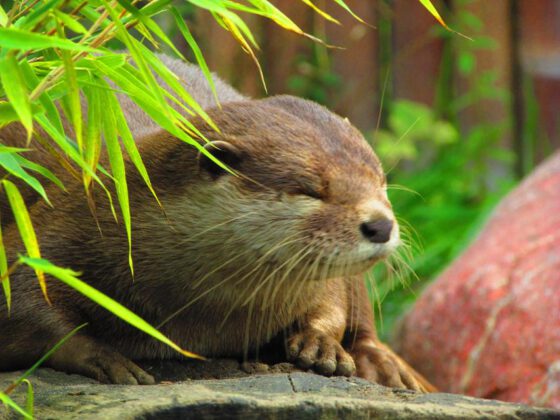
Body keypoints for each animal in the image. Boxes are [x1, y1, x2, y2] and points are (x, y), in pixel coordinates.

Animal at [0, 55, 430, 390]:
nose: (381, 225)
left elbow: (333, 298)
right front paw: (108, 358)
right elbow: (27, 307)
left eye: (381, 181)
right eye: (310, 189)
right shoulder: (52, 227)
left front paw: (320, 342)